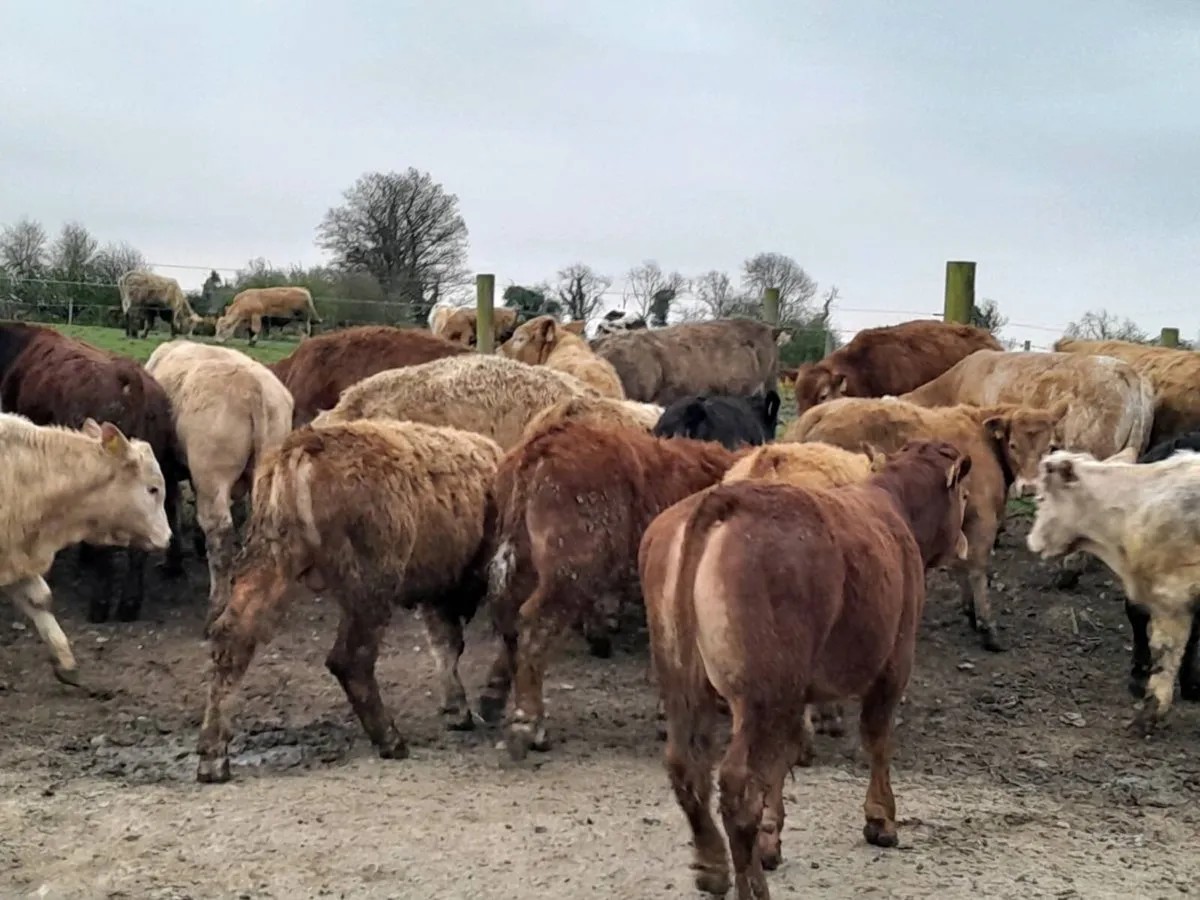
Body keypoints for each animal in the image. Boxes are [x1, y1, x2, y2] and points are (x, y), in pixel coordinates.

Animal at [144, 340, 294, 625]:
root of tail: (255, 389)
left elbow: (171, 508)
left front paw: (173, 563)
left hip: (212, 471)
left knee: (219, 531)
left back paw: (217, 605)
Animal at [195, 420, 502, 784]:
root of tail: (304, 446)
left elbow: (447, 644)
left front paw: (458, 710)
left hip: (271, 563)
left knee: (233, 639)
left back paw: (213, 758)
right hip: (371, 588)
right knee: (351, 659)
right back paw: (391, 740)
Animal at [479, 421, 745, 761]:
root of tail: (547, 441)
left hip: (526, 563)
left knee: (509, 620)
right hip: (571, 573)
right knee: (535, 625)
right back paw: (528, 724)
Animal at [642, 441, 970, 898]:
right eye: (964, 496)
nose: (964, 542)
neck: (892, 506)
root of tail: (726, 500)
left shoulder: (799, 695)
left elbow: (787, 755)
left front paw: (771, 837)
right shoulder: (895, 662)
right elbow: (877, 738)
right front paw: (881, 819)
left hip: (685, 681)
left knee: (687, 766)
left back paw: (712, 866)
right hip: (763, 693)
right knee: (738, 785)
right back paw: (752, 887)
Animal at [786, 397, 1067, 651]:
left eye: (1050, 447)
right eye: (1013, 444)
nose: (1030, 487)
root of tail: (815, 415)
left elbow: (960, 564)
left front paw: (970, 611)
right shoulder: (981, 519)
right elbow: (976, 568)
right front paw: (988, 627)